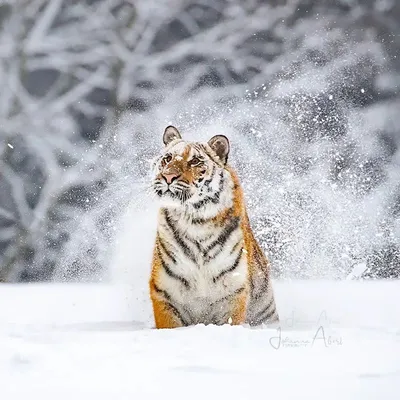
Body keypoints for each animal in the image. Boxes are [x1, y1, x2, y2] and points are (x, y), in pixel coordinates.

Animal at [149, 125, 278, 328]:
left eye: (194, 161)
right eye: (167, 158)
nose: (168, 176)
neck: (194, 220)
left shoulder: (232, 292)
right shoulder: (164, 292)